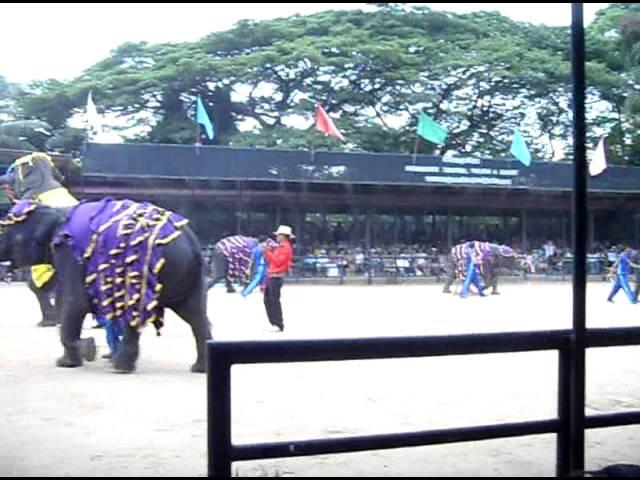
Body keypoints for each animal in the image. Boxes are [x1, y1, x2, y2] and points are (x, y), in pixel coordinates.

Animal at [0, 197, 212, 374]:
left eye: (9, 233)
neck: (54, 211)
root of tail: (192, 243)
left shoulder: (70, 255)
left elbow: (76, 302)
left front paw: (81, 354)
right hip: (188, 276)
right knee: (195, 315)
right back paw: (199, 368)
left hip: (146, 270)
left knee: (137, 314)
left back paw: (120, 367)